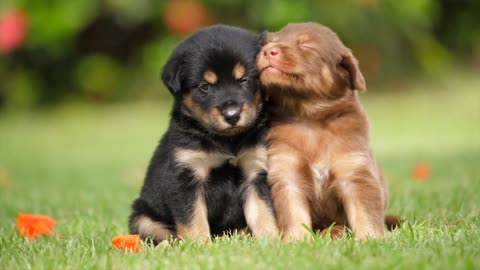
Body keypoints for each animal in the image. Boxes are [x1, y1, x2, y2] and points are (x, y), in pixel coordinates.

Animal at [129, 25, 278, 244]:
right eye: (205, 86)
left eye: (244, 80)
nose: (232, 115)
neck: (227, 141)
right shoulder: (186, 176)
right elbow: (193, 219)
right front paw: (199, 245)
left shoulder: (255, 172)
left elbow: (263, 212)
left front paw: (271, 241)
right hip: (143, 218)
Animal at [258, 22, 390, 240]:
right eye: (270, 42)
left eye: (307, 46)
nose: (269, 51)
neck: (310, 118)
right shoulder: (286, 172)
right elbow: (293, 212)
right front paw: (296, 239)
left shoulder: (354, 171)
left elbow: (365, 211)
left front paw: (370, 238)